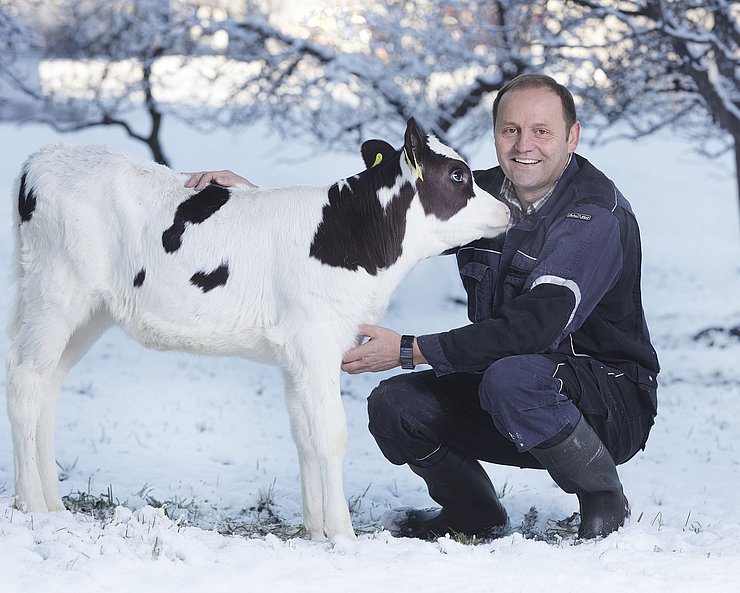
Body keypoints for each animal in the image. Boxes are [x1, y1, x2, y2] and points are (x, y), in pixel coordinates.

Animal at [5, 118, 512, 540]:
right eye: (458, 176)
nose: (508, 210)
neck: (354, 235)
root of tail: (44, 156)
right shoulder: (316, 342)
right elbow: (330, 434)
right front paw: (343, 536)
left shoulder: (294, 355)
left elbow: (304, 435)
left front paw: (315, 534)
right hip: (57, 294)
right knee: (25, 383)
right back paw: (33, 507)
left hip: (90, 313)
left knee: (47, 385)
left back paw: (54, 505)